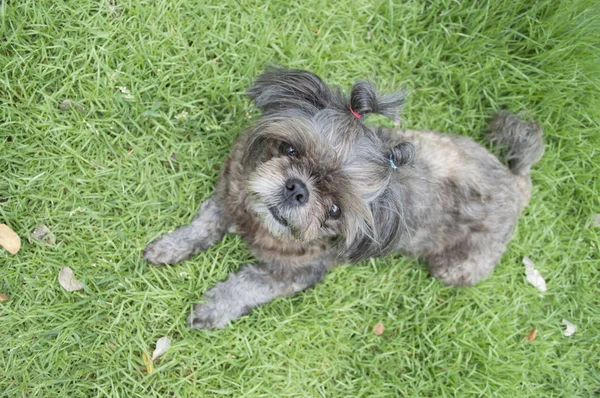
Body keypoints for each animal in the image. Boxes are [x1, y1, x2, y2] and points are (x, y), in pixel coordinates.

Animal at [144, 69, 544, 330]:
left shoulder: (295, 275)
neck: (260, 226)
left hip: (454, 268)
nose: (297, 189)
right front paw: (170, 246)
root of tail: (517, 181)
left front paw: (213, 310)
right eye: (289, 149)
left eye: (335, 208)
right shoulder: (230, 193)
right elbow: (202, 226)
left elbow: (247, 286)